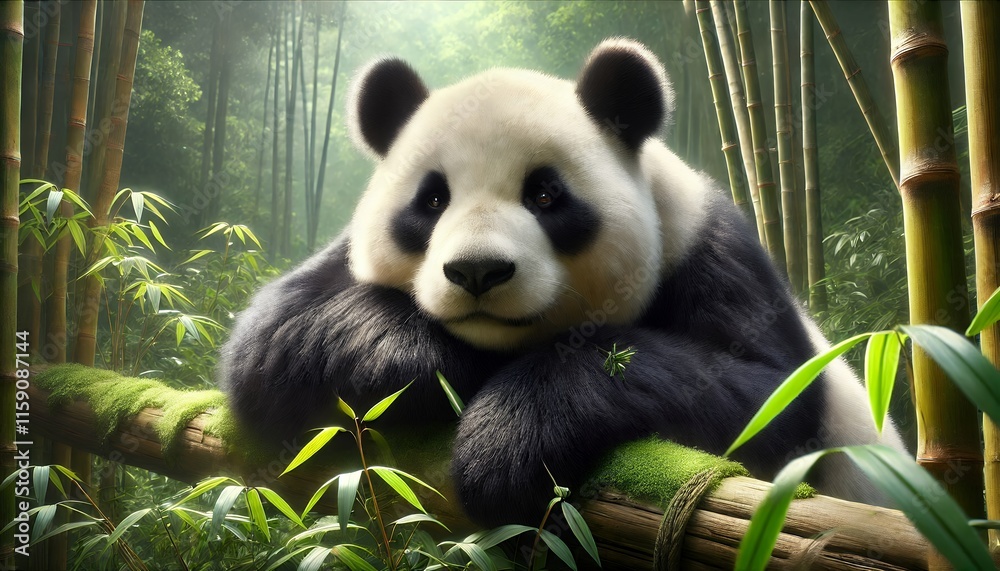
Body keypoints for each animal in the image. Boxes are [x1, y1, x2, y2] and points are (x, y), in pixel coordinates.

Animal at [220, 38, 906, 526]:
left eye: (545, 195)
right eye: (433, 199)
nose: (476, 270)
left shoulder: (712, 252)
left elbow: (768, 396)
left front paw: (504, 445)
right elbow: (269, 345)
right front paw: (421, 362)